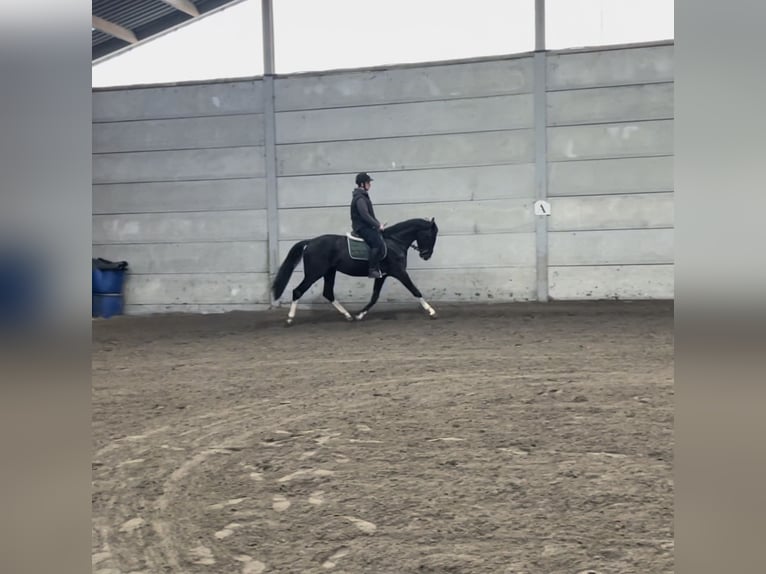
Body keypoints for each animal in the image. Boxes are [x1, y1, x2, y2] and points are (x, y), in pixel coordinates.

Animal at [272, 218, 438, 326]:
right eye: (430, 235)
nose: (426, 255)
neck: (394, 242)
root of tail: (310, 242)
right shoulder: (399, 272)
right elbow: (415, 290)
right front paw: (431, 311)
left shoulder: (382, 276)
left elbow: (374, 297)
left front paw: (360, 314)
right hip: (314, 273)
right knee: (298, 291)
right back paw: (290, 319)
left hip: (329, 272)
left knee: (328, 293)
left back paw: (348, 316)